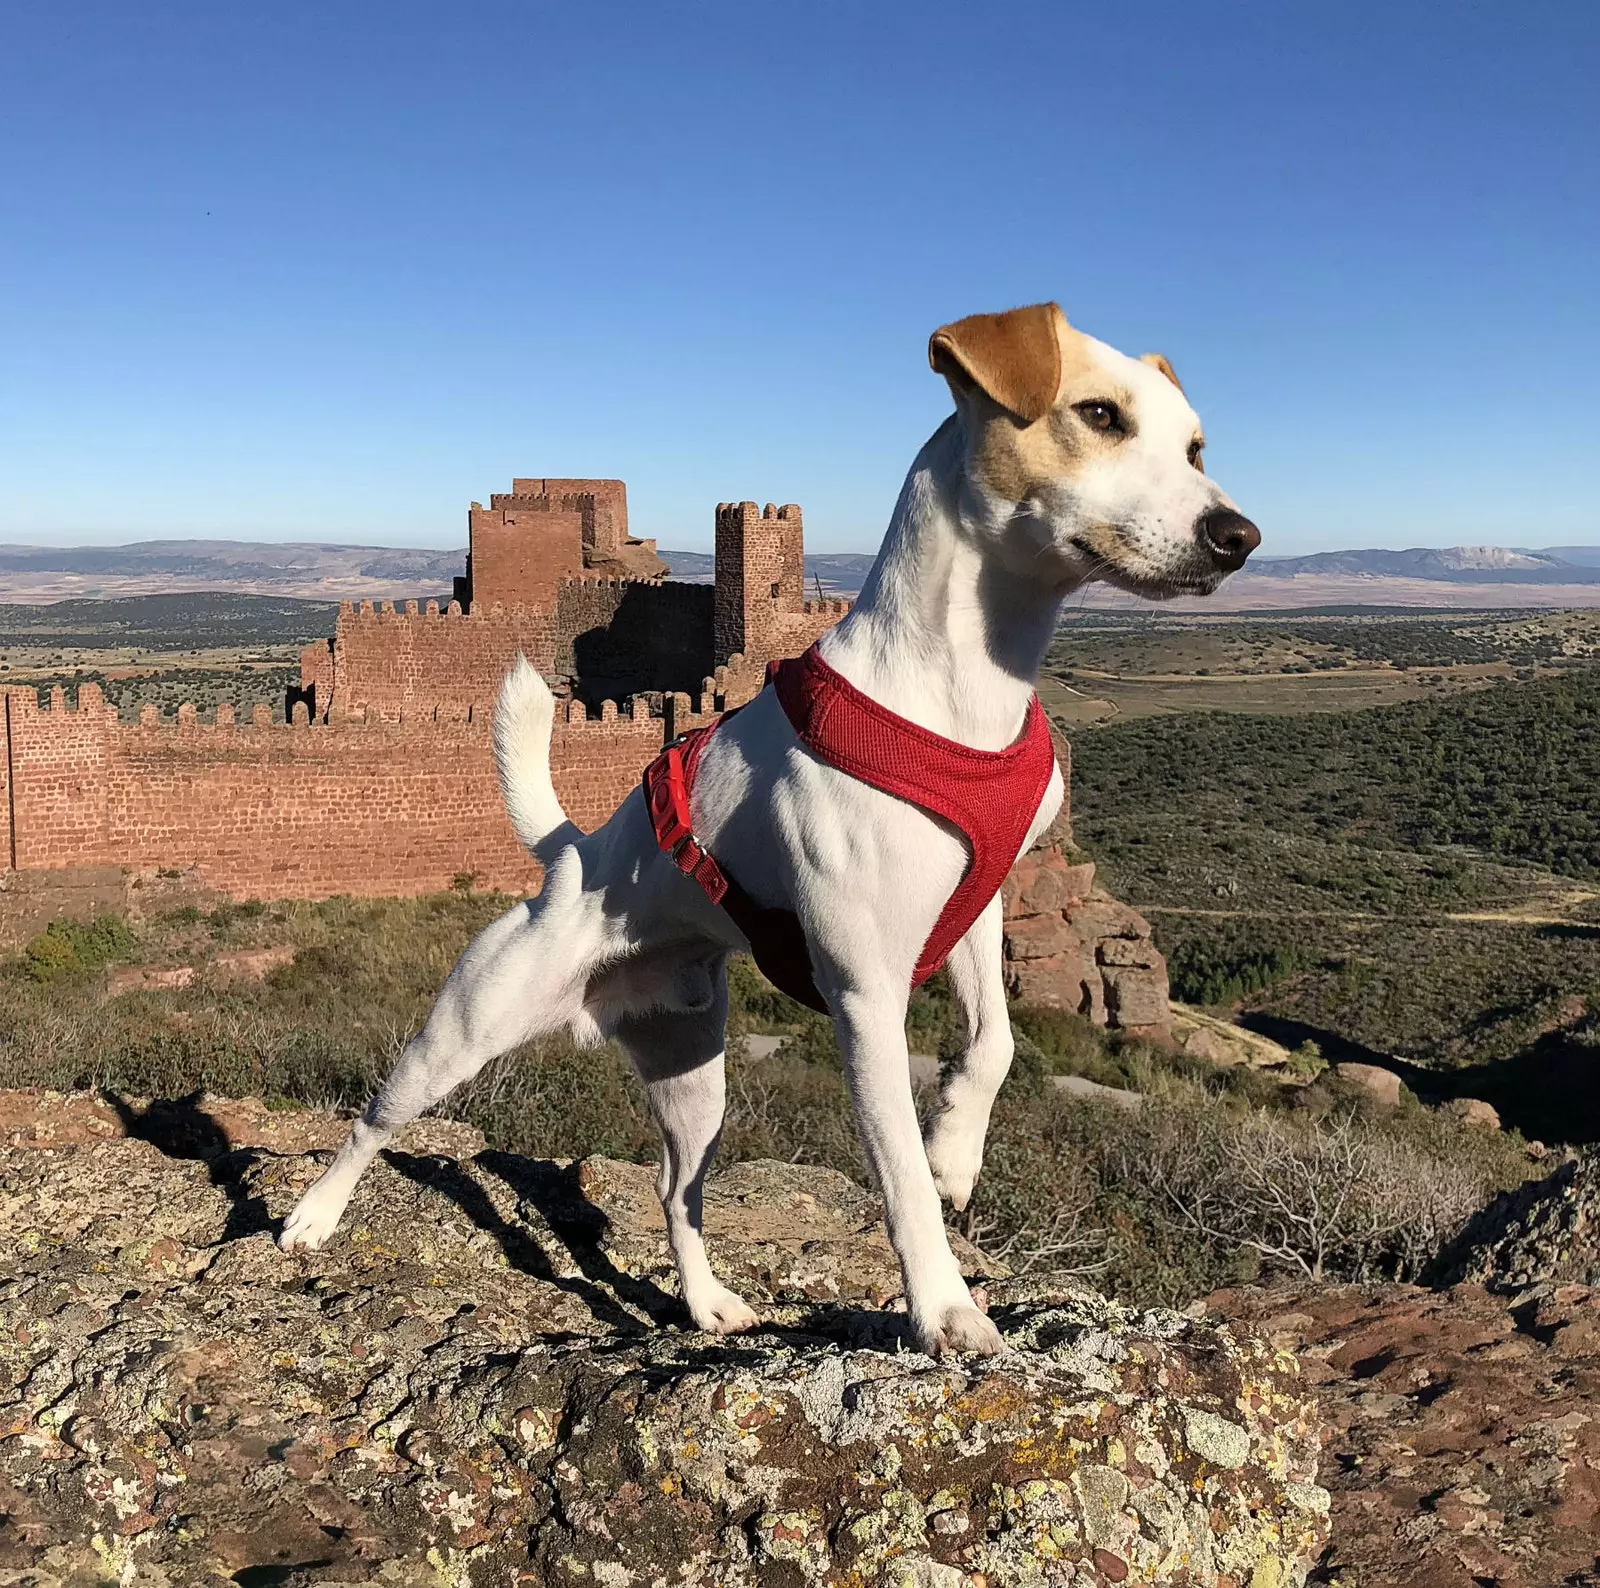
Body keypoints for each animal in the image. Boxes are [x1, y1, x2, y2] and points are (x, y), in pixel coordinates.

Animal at [284, 297, 1260, 1351]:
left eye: (1196, 446)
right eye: (1099, 416)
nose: (1238, 535)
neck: (964, 693)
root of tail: (572, 856)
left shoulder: (977, 900)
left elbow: (995, 1041)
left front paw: (958, 1147)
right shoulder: (865, 991)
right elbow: (900, 1181)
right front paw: (944, 1307)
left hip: (695, 1081)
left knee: (675, 1195)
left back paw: (707, 1302)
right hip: (466, 1029)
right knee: (376, 1119)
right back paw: (311, 1220)